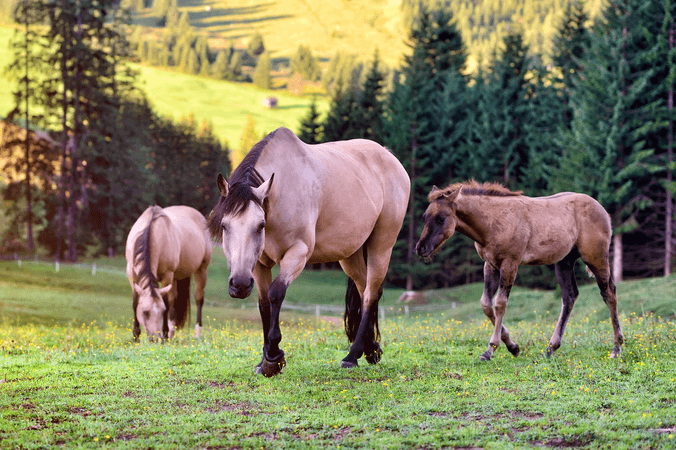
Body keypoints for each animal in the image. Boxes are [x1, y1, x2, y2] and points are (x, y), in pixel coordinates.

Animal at [125, 205, 212, 341]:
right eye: (145, 312)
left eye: (162, 311)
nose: (155, 338)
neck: (152, 232)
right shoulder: (131, 274)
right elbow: (135, 302)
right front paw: (136, 336)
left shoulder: (167, 275)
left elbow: (167, 302)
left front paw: (165, 335)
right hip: (176, 277)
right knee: (174, 300)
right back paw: (172, 333)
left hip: (201, 270)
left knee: (198, 299)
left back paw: (196, 334)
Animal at [207, 127, 410, 376]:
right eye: (225, 225)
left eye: (260, 225)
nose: (240, 285)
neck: (281, 193)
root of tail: (389, 156)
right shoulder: (259, 264)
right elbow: (264, 304)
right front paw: (263, 361)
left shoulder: (298, 253)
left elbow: (276, 294)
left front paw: (274, 357)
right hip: (349, 255)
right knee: (365, 292)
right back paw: (371, 349)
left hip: (382, 245)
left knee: (372, 293)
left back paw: (352, 356)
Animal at [415, 180, 624, 361]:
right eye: (425, 217)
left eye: (441, 218)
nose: (420, 248)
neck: (493, 221)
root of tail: (603, 210)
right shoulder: (490, 265)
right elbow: (486, 304)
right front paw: (513, 347)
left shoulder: (510, 263)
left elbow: (500, 304)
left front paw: (490, 349)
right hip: (564, 262)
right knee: (570, 296)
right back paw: (550, 348)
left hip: (596, 258)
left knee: (609, 293)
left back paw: (616, 347)